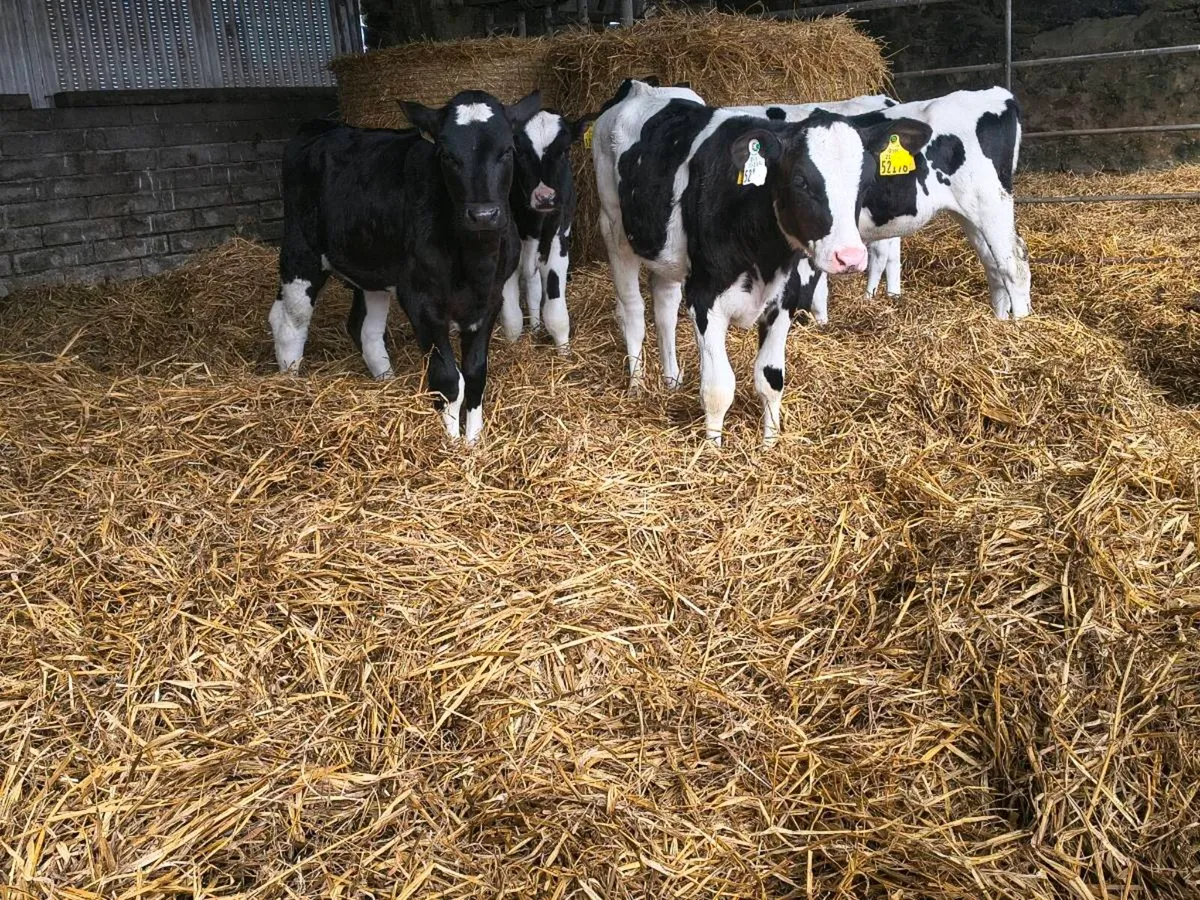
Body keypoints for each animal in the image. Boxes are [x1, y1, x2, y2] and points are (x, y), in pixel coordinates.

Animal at [269, 89, 541, 445]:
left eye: (507, 150)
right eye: (446, 155)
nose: (483, 215)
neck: (474, 262)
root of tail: (321, 126)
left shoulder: (490, 299)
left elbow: (475, 375)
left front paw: (473, 441)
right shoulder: (420, 298)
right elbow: (448, 379)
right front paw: (450, 443)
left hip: (375, 266)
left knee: (363, 329)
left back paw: (385, 380)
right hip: (301, 251)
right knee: (291, 323)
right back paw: (291, 383)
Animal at [591, 78, 933, 446]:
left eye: (866, 181)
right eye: (800, 181)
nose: (850, 257)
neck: (763, 254)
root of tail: (641, 87)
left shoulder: (783, 300)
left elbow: (771, 379)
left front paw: (770, 443)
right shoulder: (704, 298)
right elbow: (718, 387)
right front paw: (713, 449)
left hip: (665, 251)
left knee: (664, 307)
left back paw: (671, 380)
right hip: (613, 228)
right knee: (633, 311)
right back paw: (637, 385)